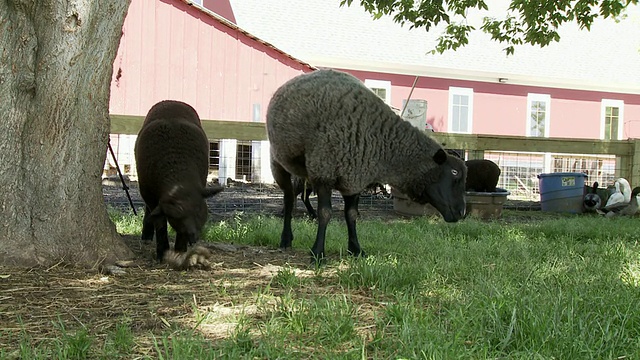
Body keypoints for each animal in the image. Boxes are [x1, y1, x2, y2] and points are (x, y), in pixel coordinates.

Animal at [134, 100, 224, 260]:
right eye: (175, 217)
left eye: (199, 209)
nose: (193, 237)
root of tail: (171, 101)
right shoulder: (150, 195)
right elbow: (160, 224)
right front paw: (162, 252)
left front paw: (180, 249)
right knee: (149, 211)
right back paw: (147, 235)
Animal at [264, 69, 464, 262]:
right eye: (454, 172)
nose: (462, 213)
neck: (382, 142)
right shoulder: (324, 172)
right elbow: (325, 213)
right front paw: (318, 253)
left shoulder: (355, 177)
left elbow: (351, 215)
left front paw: (356, 249)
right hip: (279, 160)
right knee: (288, 198)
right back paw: (285, 239)